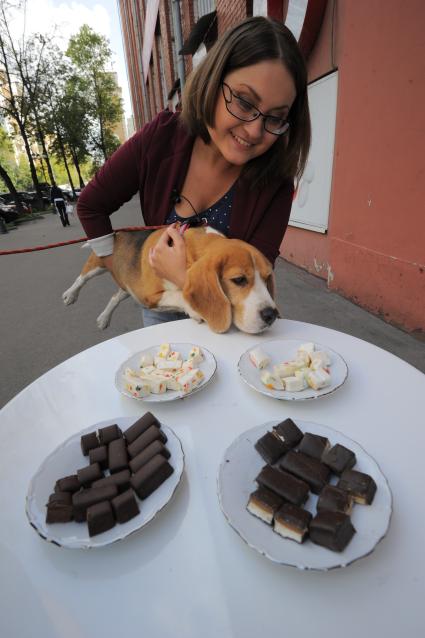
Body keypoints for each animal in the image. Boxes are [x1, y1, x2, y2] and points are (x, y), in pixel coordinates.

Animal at [61, 226, 276, 336]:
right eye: (239, 280)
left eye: (267, 279)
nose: (271, 315)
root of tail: (117, 232)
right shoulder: (148, 295)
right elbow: (180, 295)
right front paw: (196, 311)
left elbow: (180, 293)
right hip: (97, 265)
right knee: (81, 278)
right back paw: (70, 295)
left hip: (127, 287)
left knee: (115, 297)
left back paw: (104, 318)